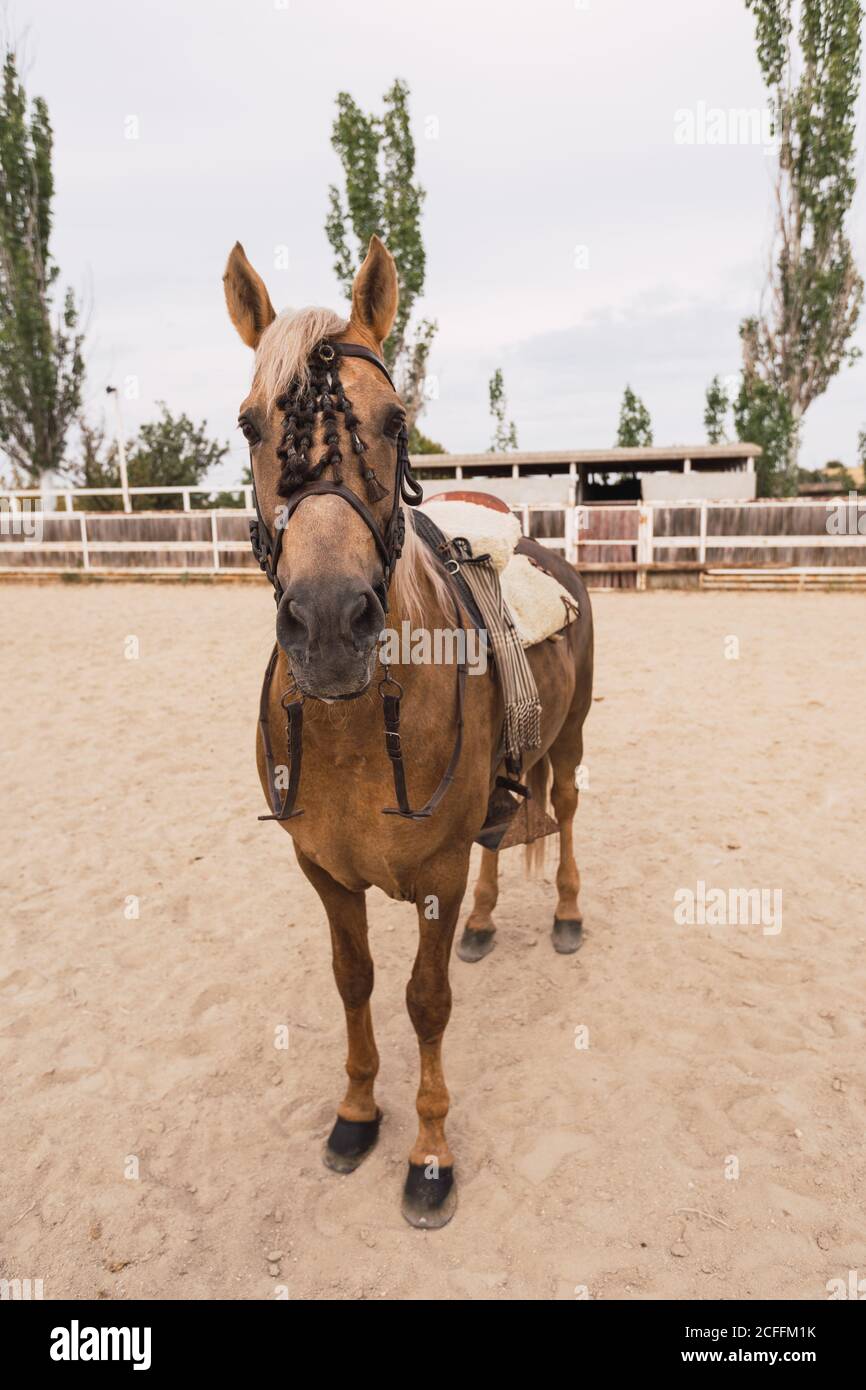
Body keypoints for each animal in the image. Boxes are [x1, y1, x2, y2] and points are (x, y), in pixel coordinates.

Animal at [223, 233, 594, 1227]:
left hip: (571, 745)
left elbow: (427, 1001)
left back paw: (568, 915)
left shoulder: (436, 874)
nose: (327, 624)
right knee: (506, 838)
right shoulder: (324, 871)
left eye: (395, 420)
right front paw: (356, 1113)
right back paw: (490, 922)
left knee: (566, 814)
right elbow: (353, 982)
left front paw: (430, 1156)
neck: (355, 728)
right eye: (249, 426)